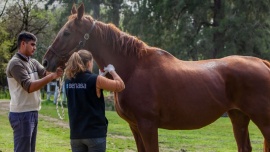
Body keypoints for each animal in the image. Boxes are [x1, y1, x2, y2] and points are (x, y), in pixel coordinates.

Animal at [43, 2, 270, 151]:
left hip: (263, 120)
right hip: (238, 116)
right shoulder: (135, 126)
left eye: (66, 33)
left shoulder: (148, 125)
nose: (46, 62)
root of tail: (262, 63)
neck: (133, 68)